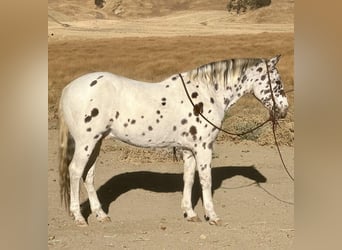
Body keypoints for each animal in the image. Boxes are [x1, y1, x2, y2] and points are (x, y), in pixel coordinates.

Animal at [58, 54, 288, 227]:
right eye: (277, 83)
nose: (284, 110)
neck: (207, 93)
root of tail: (68, 89)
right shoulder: (204, 147)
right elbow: (206, 180)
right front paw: (212, 216)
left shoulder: (189, 149)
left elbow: (189, 179)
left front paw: (190, 214)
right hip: (86, 142)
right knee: (75, 171)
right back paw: (79, 217)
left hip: (96, 142)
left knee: (88, 175)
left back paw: (100, 215)